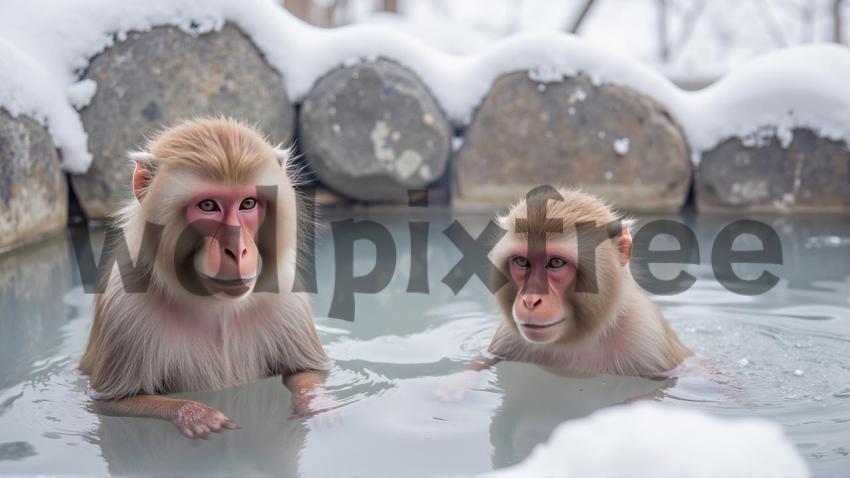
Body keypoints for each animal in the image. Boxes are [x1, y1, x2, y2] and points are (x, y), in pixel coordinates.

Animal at [78, 118, 332, 436]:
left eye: (248, 203)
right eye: (208, 206)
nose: (238, 250)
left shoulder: (286, 297)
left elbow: (306, 372)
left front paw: (315, 404)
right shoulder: (123, 307)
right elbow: (113, 402)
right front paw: (192, 413)